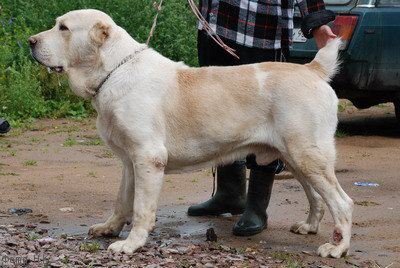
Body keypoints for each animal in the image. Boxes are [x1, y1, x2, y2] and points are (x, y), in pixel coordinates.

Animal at [28, 9, 354, 258]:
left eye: (63, 28)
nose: (30, 41)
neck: (114, 71)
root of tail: (312, 69)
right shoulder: (130, 162)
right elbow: (122, 201)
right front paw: (109, 229)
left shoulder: (148, 158)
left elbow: (141, 208)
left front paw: (131, 244)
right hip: (295, 157)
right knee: (317, 197)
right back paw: (310, 226)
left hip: (307, 155)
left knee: (342, 203)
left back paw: (337, 248)